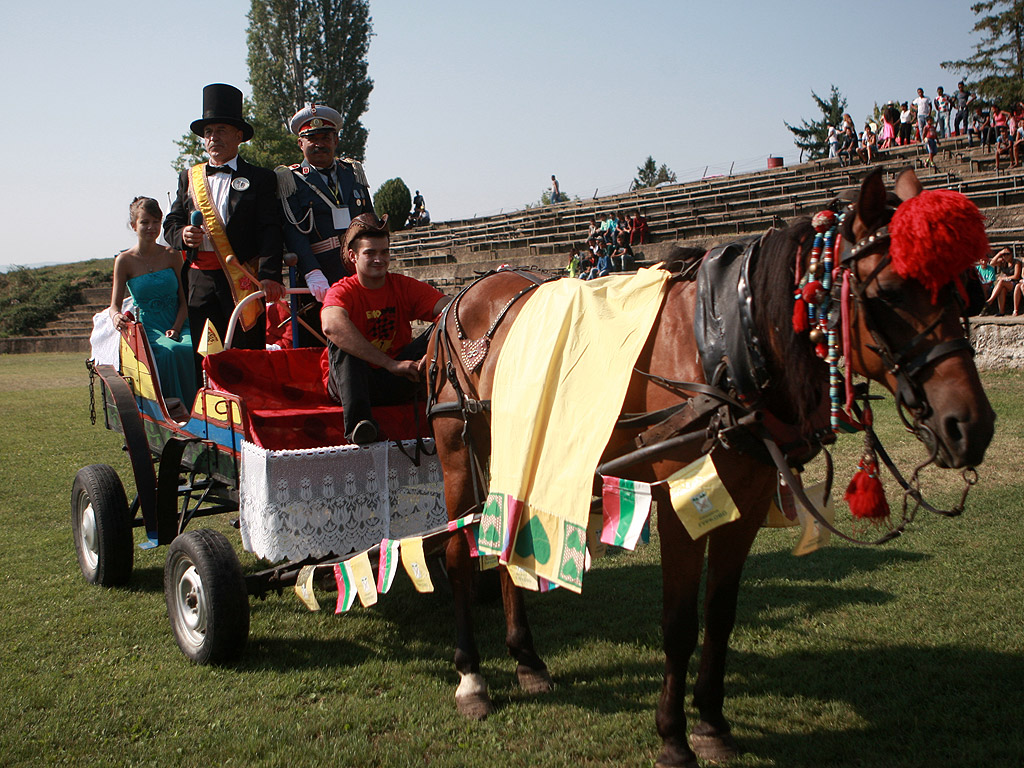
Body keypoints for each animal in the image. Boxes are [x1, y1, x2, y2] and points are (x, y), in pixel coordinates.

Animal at [423, 169, 991, 768]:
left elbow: (720, 615)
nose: (970, 426)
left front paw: (713, 723)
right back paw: (472, 677)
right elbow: (679, 623)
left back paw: (527, 658)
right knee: (460, 551)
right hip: (456, 446)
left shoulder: (748, 496)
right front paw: (673, 736)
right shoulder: (677, 499)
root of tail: (461, 294)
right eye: (888, 294)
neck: (723, 344)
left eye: (962, 291)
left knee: (502, 535)